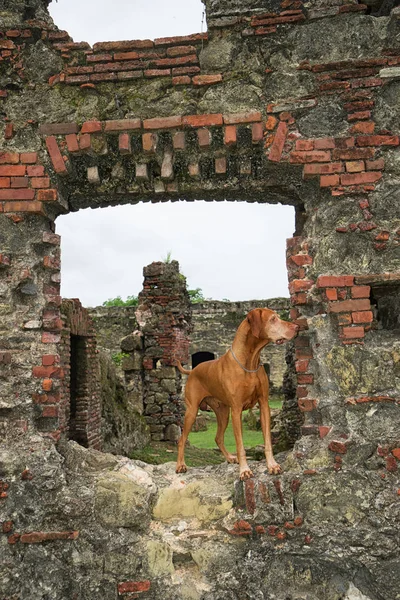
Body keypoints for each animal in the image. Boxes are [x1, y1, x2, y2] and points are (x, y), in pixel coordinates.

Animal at [177, 308, 298, 480]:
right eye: (273, 319)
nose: (296, 327)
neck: (250, 361)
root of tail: (192, 371)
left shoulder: (263, 404)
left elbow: (268, 441)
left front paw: (272, 465)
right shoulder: (236, 410)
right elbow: (240, 445)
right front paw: (244, 470)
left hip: (222, 413)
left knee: (218, 437)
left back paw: (229, 458)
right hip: (192, 412)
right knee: (182, 439)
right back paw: (180, 465)